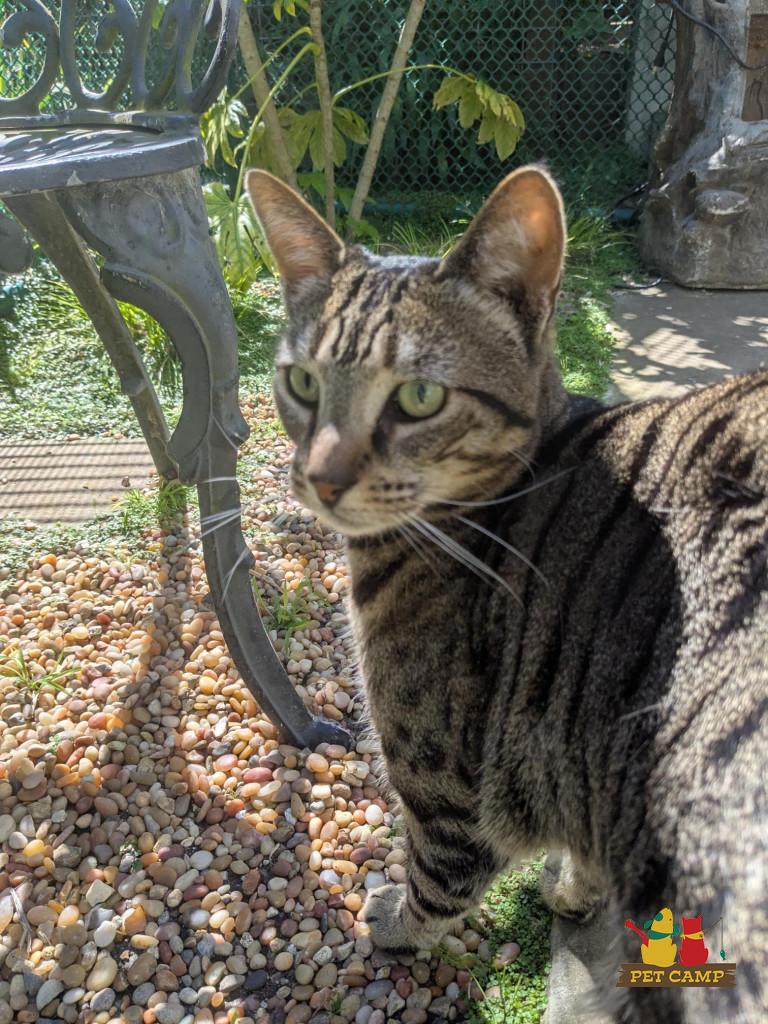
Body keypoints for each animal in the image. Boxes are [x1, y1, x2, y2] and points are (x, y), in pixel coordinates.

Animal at [246, 166, 768, 1024]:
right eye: (301, 382)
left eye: (420, 397)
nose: (318, 477)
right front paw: (575, 888)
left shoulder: (450, 790)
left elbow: (437, 883)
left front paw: (393, 924)